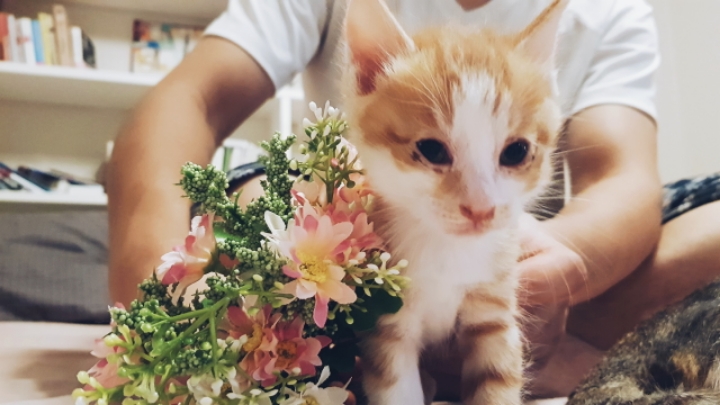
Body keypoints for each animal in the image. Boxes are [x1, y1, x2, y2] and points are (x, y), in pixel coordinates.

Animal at [341, 0, 568, 404]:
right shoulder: (388, 323)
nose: (481, 208)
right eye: (432, 150)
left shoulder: (495, 310)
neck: (447, 251)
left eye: (516, 151)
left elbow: (497, 382)